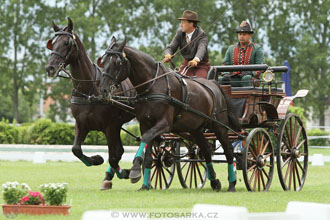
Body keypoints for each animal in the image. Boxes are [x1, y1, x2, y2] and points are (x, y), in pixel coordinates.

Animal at [45, 18, 135, 190]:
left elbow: (113, 156)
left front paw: (124, 172)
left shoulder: (110, 126)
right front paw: (96, 159)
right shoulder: (81, 123)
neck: (90, 90)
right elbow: (76, 150)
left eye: (67, 42)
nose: (50, 68)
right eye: (52, 42)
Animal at [98, 37, 240, 191]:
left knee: (229, 151)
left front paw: (135, 170)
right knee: (206, 150)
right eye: (103, 61)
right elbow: (148, 155)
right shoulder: (145, 124)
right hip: (196, 129)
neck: (153, 85)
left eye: (117, 63)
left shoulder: (164, 124)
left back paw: (232, 184)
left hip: (219, 127)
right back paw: (214, 181)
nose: (103, 90)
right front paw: (145, 184)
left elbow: (146, 138)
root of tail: (214, 84)